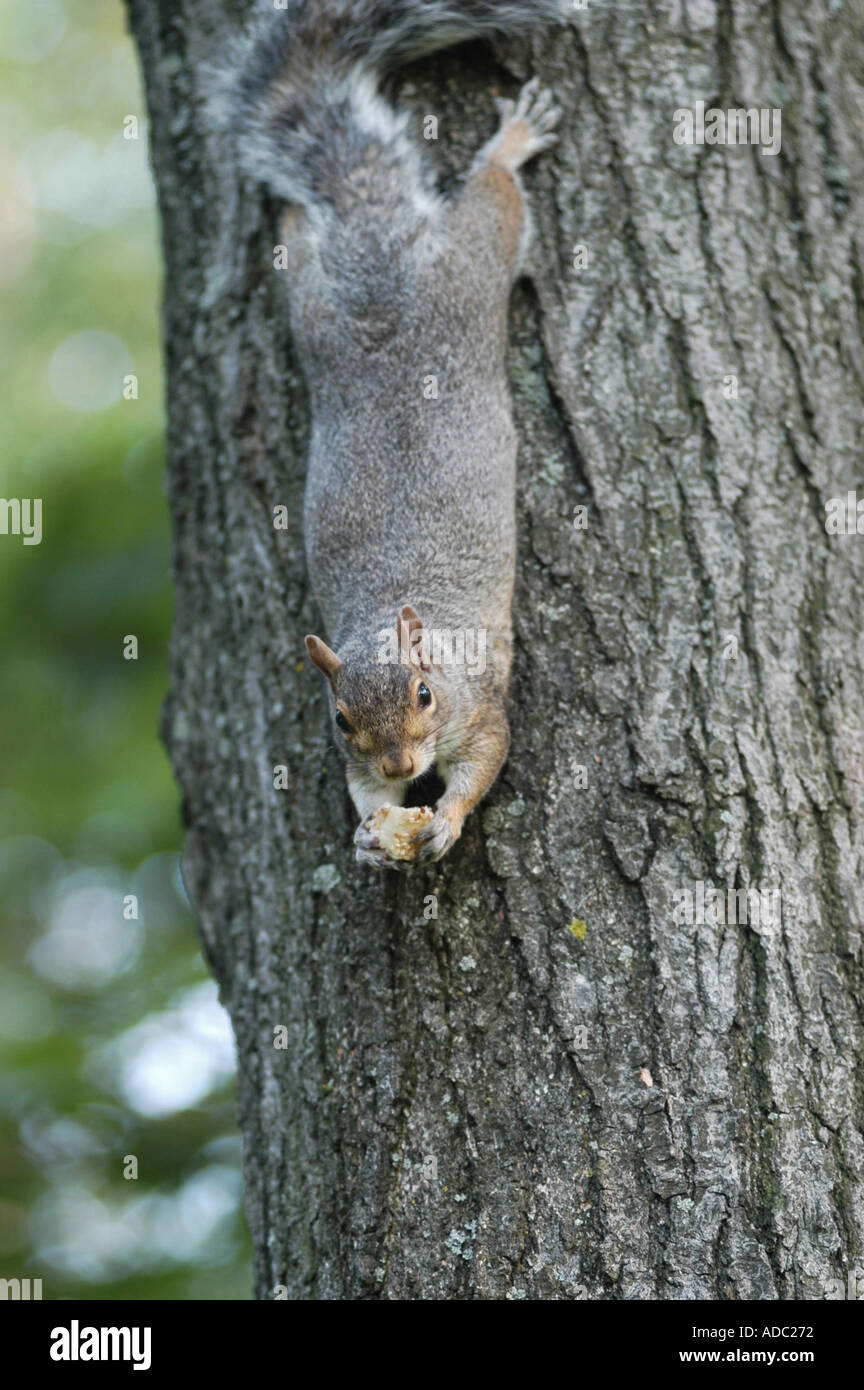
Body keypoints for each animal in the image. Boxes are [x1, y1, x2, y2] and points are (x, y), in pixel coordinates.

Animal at [217, 0, 567, 866]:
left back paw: (510, 142)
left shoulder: (481, 705)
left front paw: (445, 818)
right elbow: (362, 794)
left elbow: (487, 760)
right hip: (313, 304)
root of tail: (378, 258)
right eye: (341, 719)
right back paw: (297, 211)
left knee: (495, 201)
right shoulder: (355, 756)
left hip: (472, 263)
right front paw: (373, 838)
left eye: (425, 692)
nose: (406, 766)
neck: (396, 622)